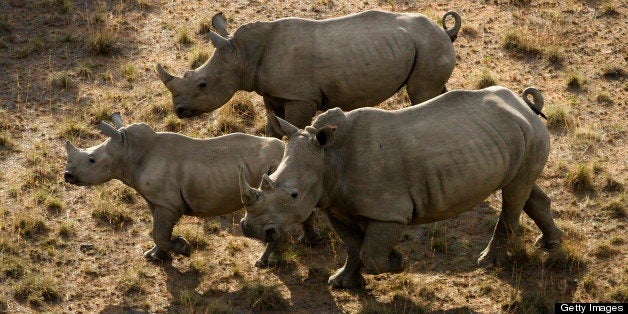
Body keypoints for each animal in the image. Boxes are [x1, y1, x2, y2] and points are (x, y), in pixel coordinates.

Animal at [65, 114, 318, 264]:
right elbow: (158, 232)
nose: (67, 176)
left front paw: (183, 248)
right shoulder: (157, 200)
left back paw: (261, 263)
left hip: (277, 171)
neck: (128, 151)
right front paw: (155, 257)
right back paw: (308, 241)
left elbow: (160, 233)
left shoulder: (169, 204)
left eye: (91, 160)